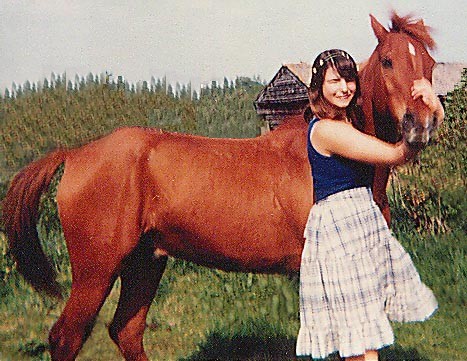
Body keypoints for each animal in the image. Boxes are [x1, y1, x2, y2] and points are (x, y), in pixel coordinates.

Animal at [1, 11, 442, 360]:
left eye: (431, 64)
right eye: (387, 61)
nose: (421, 124)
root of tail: (76, 155)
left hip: (146, 262)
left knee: (126, 331)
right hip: (96, 272)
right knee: (66, 338)